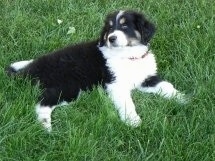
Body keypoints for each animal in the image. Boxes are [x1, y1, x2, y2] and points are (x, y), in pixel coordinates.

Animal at [6, 10, 185, 132]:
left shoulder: (146, 78)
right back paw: (46, 127)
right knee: (42, 103)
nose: (111, 38)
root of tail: (32, 70)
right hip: (68, 86)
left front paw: (184, 99)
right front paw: (133, 121)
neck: (128, 56)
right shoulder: (115, 85)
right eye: (110, 29)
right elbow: (127, 103)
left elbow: (166, 86)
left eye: (125, 26)